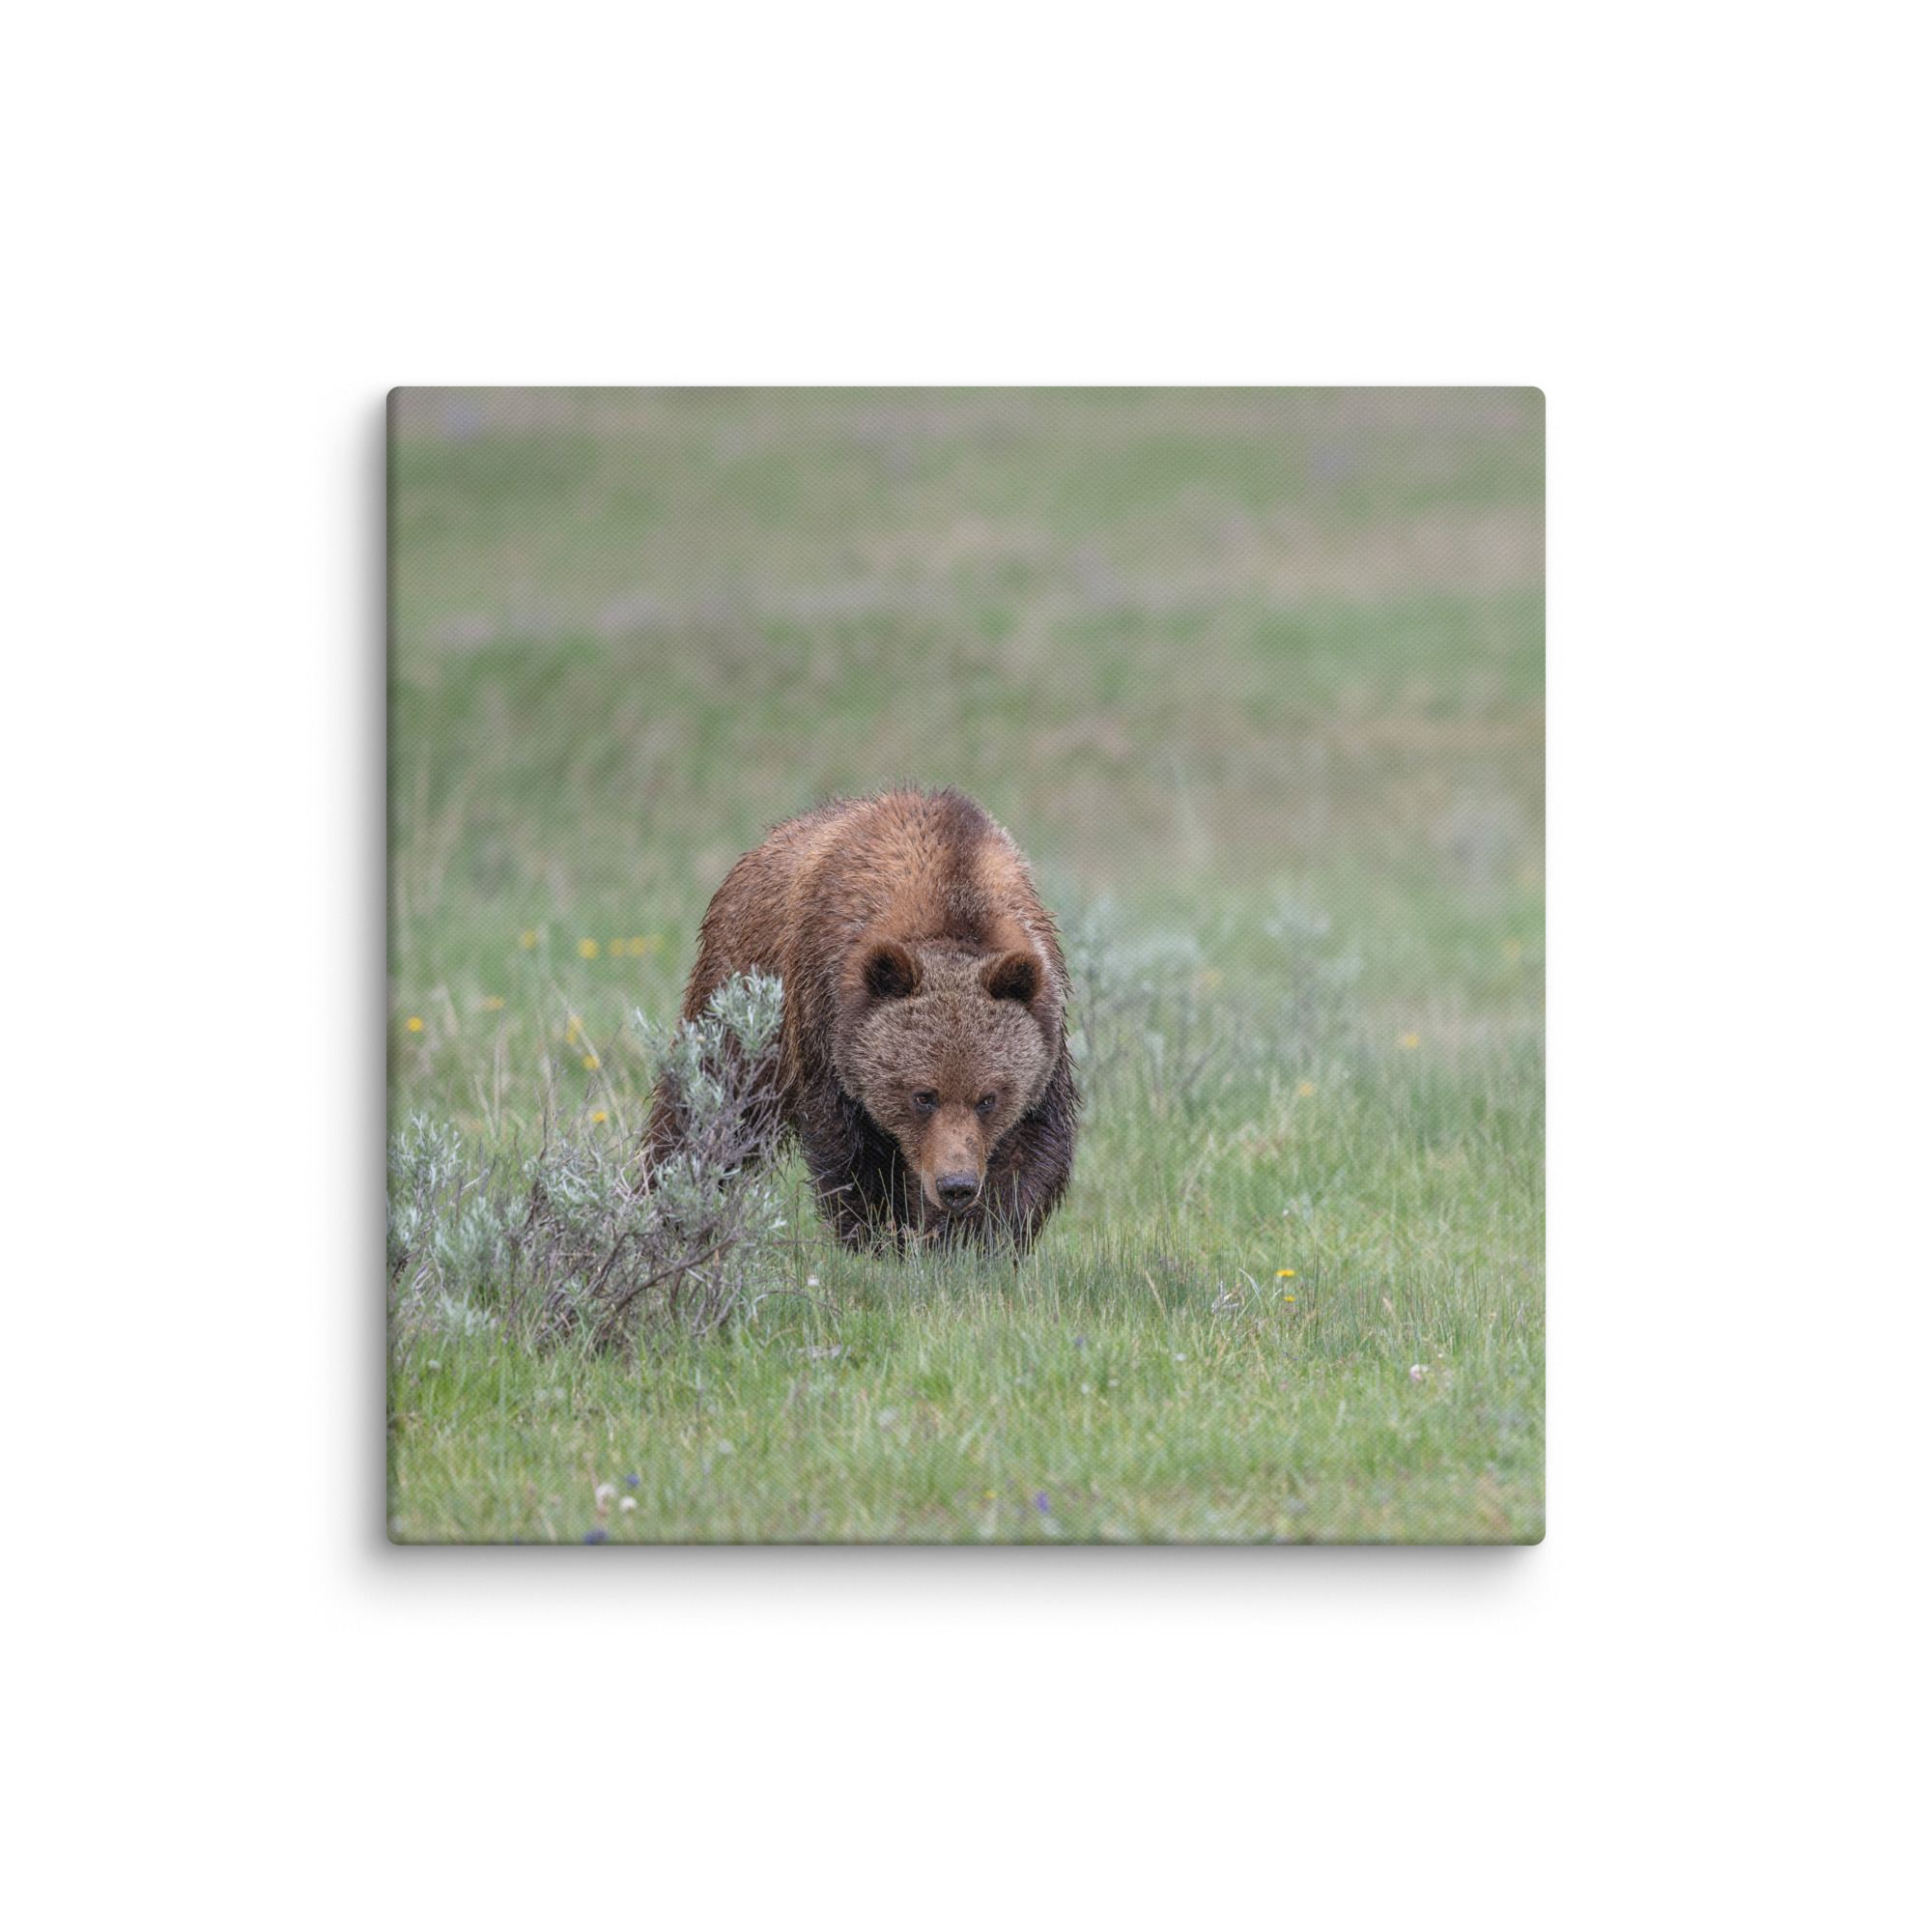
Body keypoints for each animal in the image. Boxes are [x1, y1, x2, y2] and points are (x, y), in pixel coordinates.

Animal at [646, 786, 1079, 1254]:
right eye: (922, 1095)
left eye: (988, 1099)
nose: (956, 1185)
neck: (952, 899)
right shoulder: (827, 1020)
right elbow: (853, 1153)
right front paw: (880, 1238)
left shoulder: (1044, 1030)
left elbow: (1030, 1149)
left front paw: (972, 1241)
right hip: (741, 997)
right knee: (706, 1106)